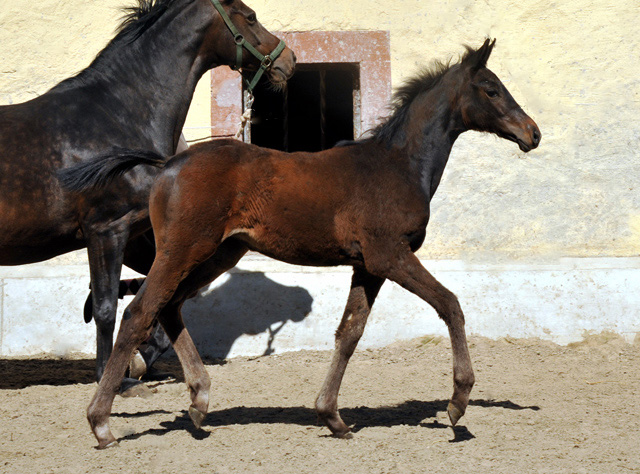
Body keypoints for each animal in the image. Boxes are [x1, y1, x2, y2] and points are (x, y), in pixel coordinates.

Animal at [0, 0, 296, 388]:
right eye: (250, 16)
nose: (289, 59)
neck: (115, 120)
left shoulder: (141, 235)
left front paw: (139, 361)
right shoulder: (107, 229)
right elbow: (107, 306)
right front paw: (112, 376)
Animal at [75, 38, 544, 448]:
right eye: (491, 89)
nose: (533, 133)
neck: (398, 164)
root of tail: (168, 164)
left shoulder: (367, 265)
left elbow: (350, 332)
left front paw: (332, 416)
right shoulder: (390, 255)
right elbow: (450, 304)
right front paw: (458, 402)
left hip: (219, 253)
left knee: (169, 307)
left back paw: (199, 400)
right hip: (182, 251)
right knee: (139, 312)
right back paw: (101, 423)